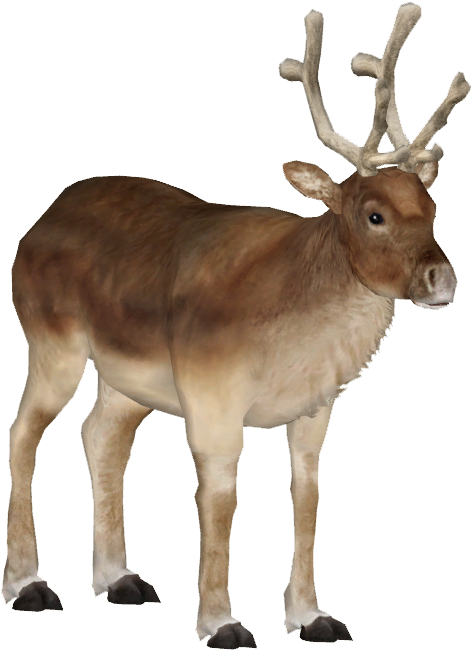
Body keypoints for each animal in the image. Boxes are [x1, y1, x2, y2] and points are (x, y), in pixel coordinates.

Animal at [5, 1, 468, 646]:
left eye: (430, 209)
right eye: (374, 214)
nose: (441, 279)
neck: (293, 340)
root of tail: (37, 226)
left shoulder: (315, 406)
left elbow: (307, 494)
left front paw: (312, 615)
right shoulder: (211, 392)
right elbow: (220, 497)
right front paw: (221, 621)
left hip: (128, 380)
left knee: (101, 435)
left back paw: (120, 578)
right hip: (53, 343)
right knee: (24, 431)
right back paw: (27, 584)